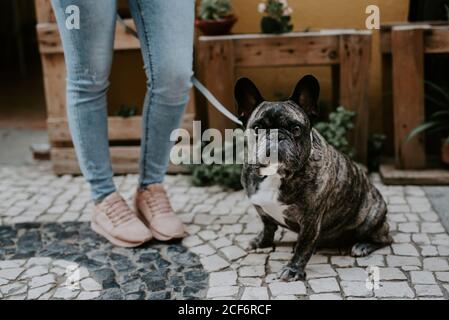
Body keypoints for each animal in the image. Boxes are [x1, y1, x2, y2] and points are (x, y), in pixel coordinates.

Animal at [236, 74, 390, 280]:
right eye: (257, 128)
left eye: (295, 129)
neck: (277, 174)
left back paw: (362, 245)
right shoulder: (261, 208)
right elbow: (268, 227)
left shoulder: (310, 219)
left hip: (370, 217)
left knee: (385, 238)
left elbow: (304, 245)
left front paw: (293, 269)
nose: (276, 136)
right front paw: (261, 242)